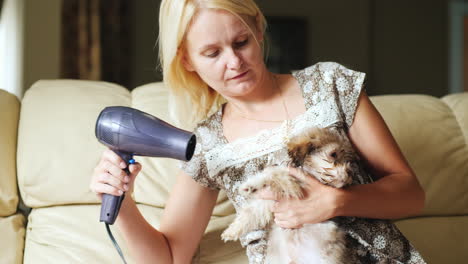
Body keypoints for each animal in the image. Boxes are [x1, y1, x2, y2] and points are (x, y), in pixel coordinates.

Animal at [221, 127, 356, 262]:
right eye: (333, 154)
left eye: (348, 161)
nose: (350, 172)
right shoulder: (270, 201)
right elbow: (251, 212)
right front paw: (232, 230)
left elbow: (277, 175)